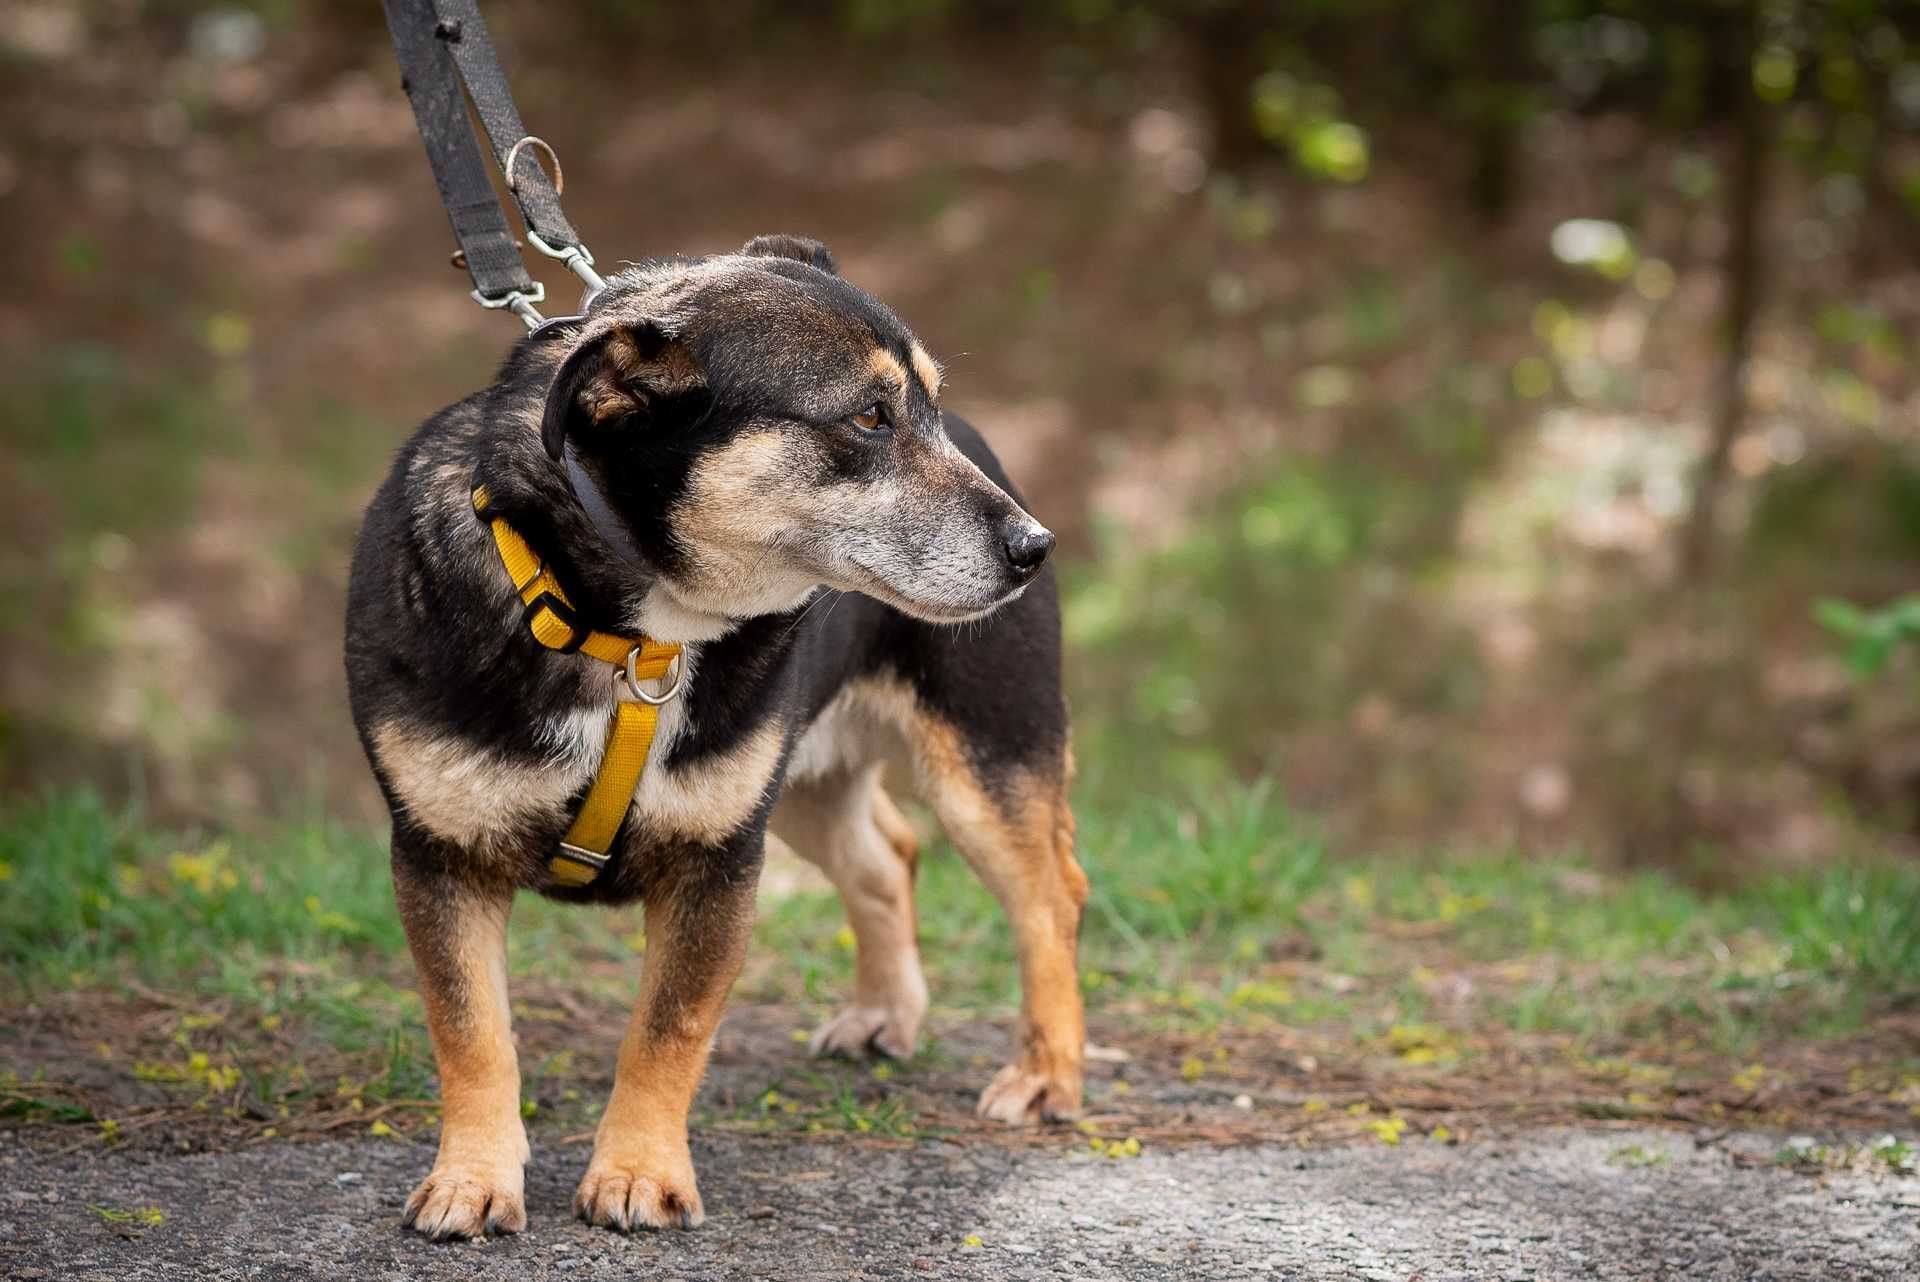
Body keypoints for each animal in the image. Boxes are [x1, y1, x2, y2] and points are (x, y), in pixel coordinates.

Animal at [343, 235, 1090, 1235]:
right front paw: (473, 1179)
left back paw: (1048, 1074)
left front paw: (638, 1173)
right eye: (868, 416)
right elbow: (471, 1034)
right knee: (888, 857)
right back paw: (885, 1014)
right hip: (801, 781)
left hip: (983, 754)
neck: (628, 630)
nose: (1035, 547)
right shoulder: (441, 855)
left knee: (1050, 900)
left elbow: (669, 1031)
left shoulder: (717, 858)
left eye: (925, 401)